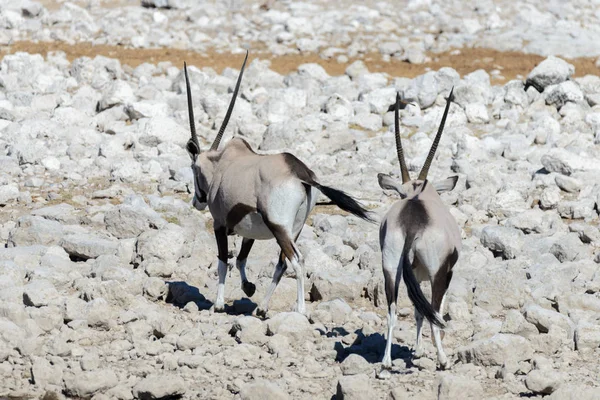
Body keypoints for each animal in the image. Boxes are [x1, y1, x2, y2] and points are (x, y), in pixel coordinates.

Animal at [183, 52, 372, 316]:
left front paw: (218, 304)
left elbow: (223, 261)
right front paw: (249, 287)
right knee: (282, 264)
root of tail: (302, 174)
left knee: (297, 260)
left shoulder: (219, 224)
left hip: (279, 228)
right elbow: (240, 259)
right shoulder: (249, 230)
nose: (197, 201)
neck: (221, 165)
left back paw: (300, 310)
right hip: (293, 229)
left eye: (193, 168)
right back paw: (262, 309)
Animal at [378, 90, 462, 368]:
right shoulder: (445, 273)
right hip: (437, 273)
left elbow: (417, 311)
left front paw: (416, 350)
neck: (416, 196)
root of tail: (412, 221)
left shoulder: (412, 275)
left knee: (392, 311)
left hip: (391, 268)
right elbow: (432, 311)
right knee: (435, 311)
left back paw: (386, 364)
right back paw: (443, 360)